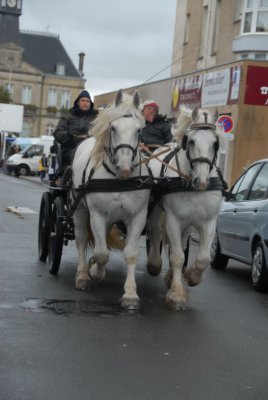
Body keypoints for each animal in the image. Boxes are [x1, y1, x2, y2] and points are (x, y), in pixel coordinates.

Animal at [71, 90, 152, 310]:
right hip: (80, 210)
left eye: (139, 130)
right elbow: (101, 253)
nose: (124, 168)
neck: (118, 180)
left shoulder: (138, 216)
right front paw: (95, 272)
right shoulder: (97, 215)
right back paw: (83, 275)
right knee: (81, 239)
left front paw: (130, 295)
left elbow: (130, 253)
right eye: (113, 128)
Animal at [147, 107, 226, 312]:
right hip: (156, 209)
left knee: (182, 242)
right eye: (191, 141)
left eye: (215, 143)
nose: (202, 181)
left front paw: (192, 277)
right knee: (156, 233)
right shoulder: (173, 220)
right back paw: (154, 265)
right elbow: (177, 257)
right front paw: (176, 295)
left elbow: (203, 257)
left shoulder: (208, 222)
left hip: (189, 223)